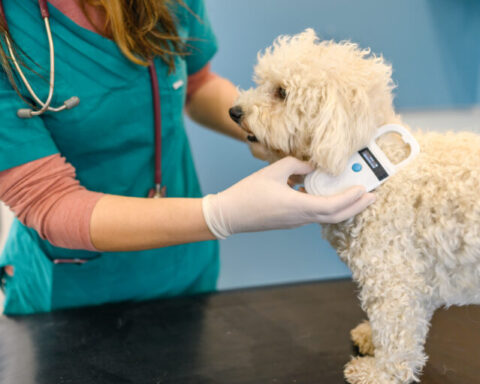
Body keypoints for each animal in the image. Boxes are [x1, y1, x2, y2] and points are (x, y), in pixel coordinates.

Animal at [229, 29, 480, 384]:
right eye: (262, 83)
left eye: (281, 92)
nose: (234, 111)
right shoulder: (416, 274)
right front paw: (371, 338)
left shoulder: (393, 274)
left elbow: (397, 330)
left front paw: (381, 372)